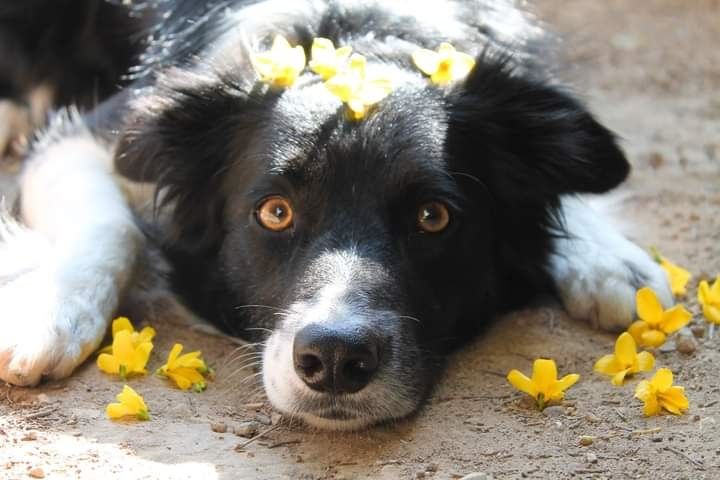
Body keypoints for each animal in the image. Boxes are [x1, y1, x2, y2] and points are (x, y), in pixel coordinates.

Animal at [1, 0, 676, 432]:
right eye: (275, 212)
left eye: (433, 217)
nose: (333, 361)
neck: (356, 38)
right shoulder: (93, 131)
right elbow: (110, 225)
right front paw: (47, 314)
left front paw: (612, 260)